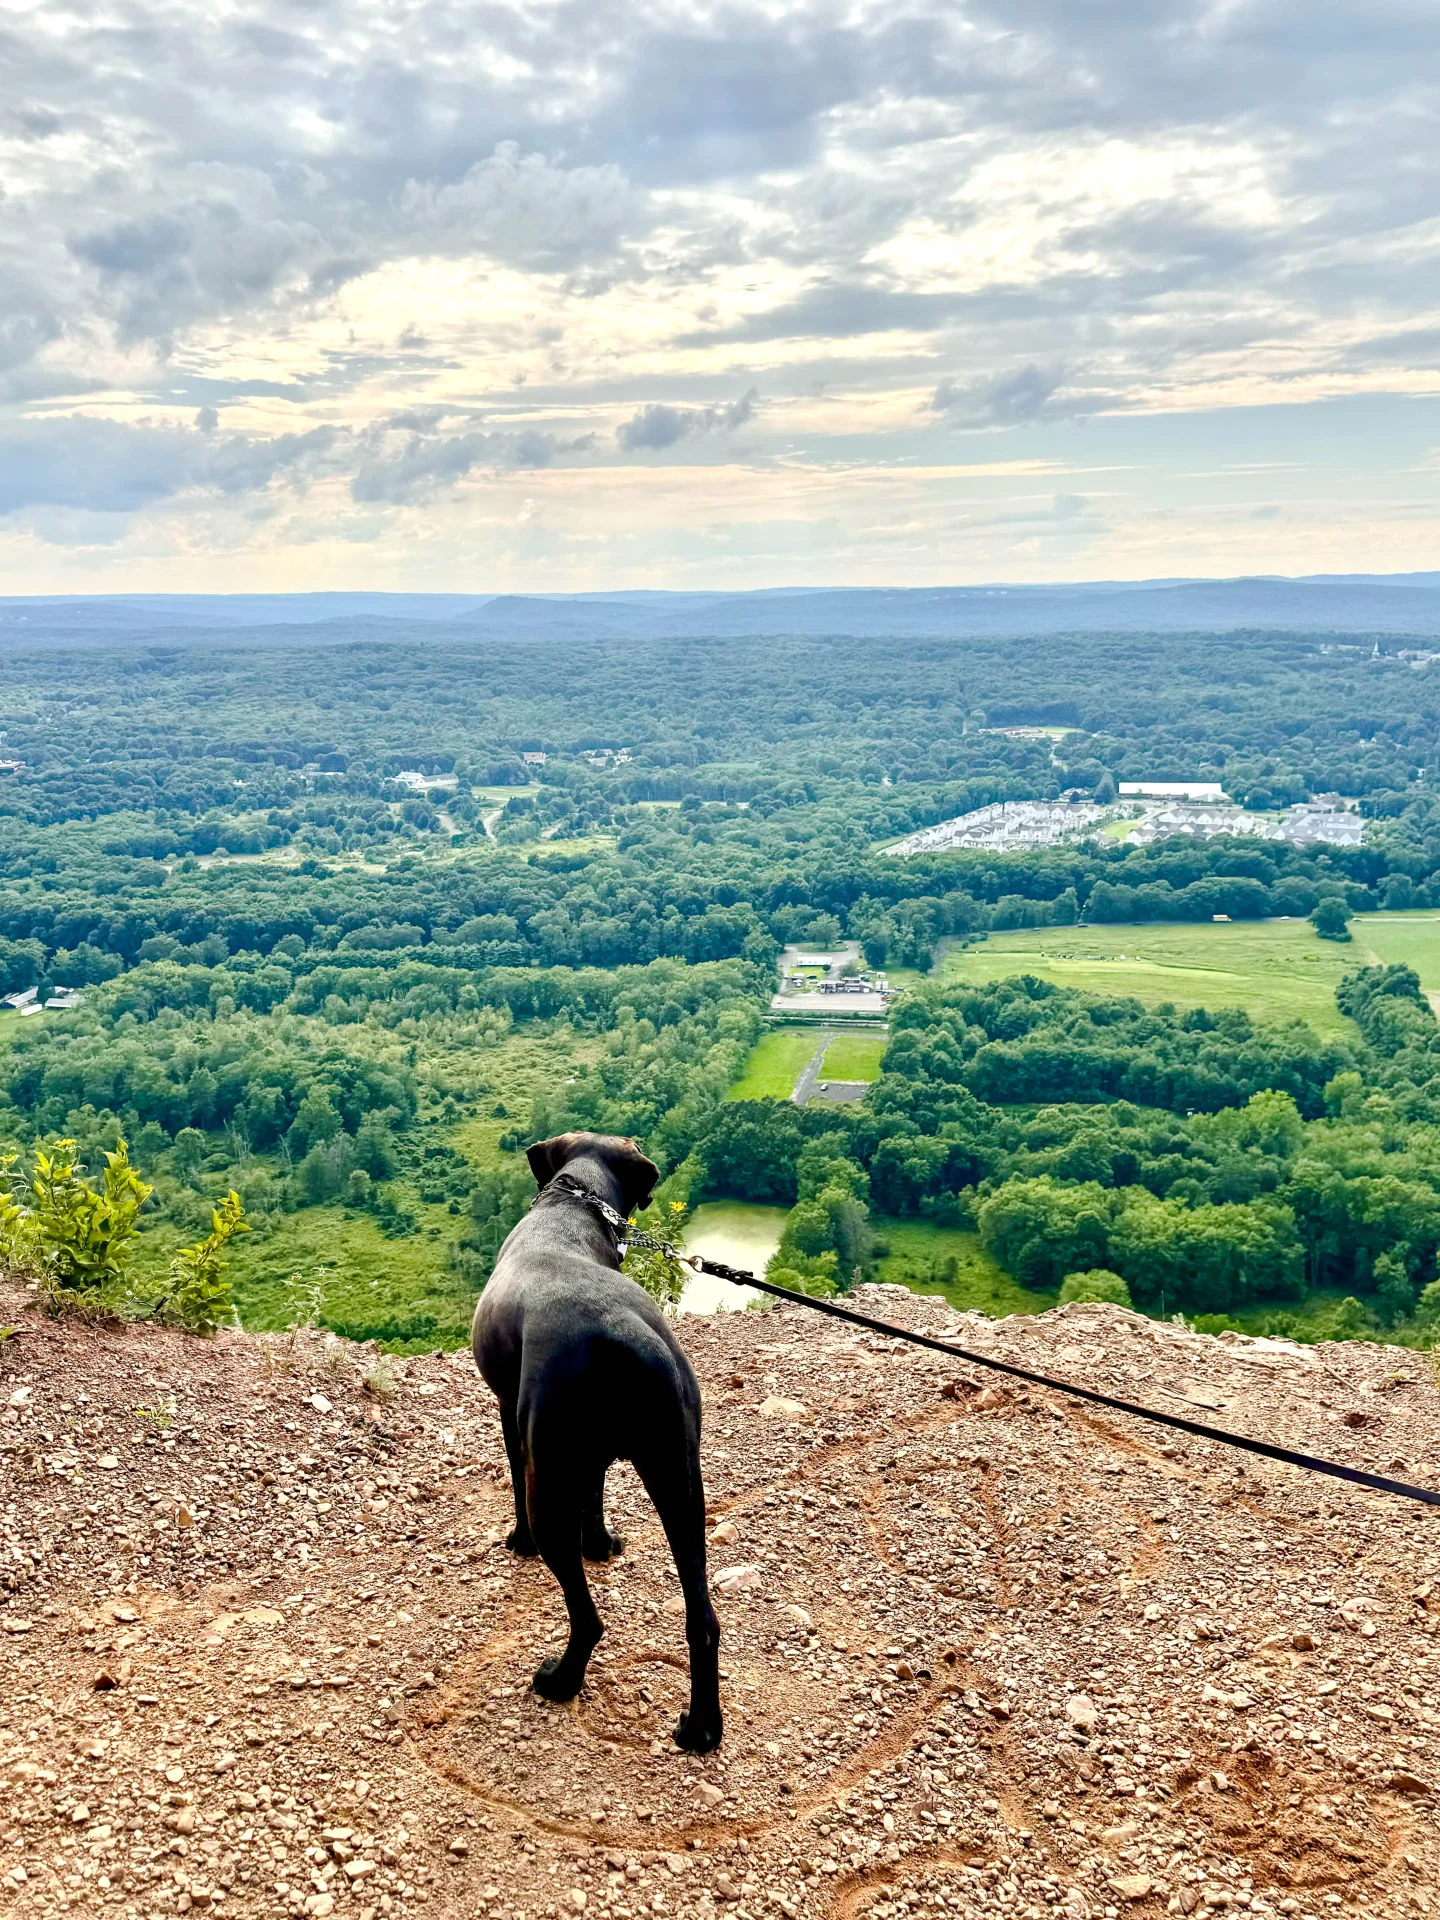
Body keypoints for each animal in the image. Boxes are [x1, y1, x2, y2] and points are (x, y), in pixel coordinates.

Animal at [470, 1128, 721, 1751]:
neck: (573, 1206)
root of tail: (629, 1337)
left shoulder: (512, 1417)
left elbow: (517, 1485)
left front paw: (518, 1541)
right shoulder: (594, 1460)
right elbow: (596, 1494)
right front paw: (602, 1543)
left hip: (552, 1487)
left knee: (587, 1618)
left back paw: (560, 1681)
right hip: (680, 1483)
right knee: (702, 1621)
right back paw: (702, 1727)